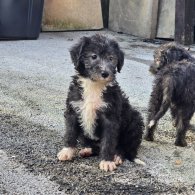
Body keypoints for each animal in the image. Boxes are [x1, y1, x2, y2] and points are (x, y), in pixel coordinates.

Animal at [57, 34, 144, 171]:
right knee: (95, 147)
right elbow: (70, 133)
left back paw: (117, 155)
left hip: (135, 121)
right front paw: (67, 151)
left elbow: (108, 141)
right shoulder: (73, 110)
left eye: (111, 58)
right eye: (94, 56)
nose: (105, 73)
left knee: (127, 147)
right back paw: (87, 150)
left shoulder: (110, 117)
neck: (94, 85)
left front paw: (107, 161)